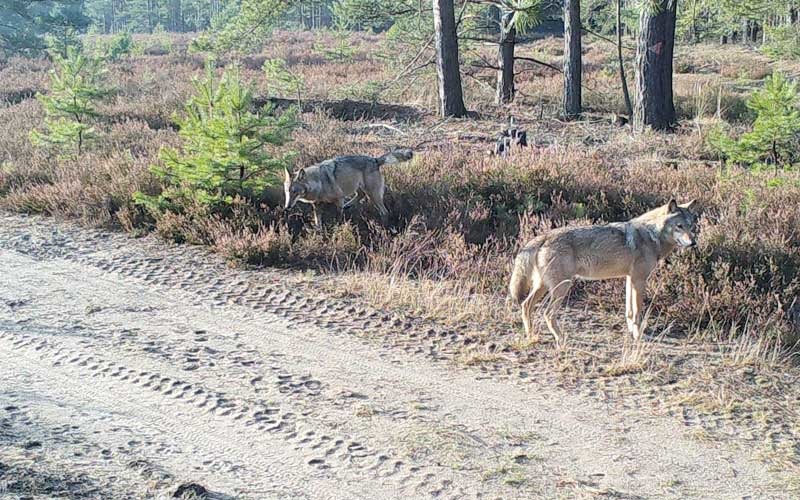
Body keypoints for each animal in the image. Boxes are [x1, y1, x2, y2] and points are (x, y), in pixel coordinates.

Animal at [284, 147, 412, 228]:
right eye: (287, 192)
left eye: (295, 192)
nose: (286, 208)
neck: (319, 183)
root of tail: (375, 160)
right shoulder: (316, 205)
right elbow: (317, 222)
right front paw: (318, 232)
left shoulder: (339, 199)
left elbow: (339, 217)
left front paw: (338, 228)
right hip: (361, 189)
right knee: (360, 196)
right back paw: (349, 205)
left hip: (373, 195)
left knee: (384, 212)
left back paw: (384, 229)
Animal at [510, 199, 696, 344]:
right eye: (679, 226)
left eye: (691, 226)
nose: (693, 243)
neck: (652, 234)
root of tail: (543, 237)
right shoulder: (639, 280)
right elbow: (637, 313)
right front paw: (638, 336)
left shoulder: (630, 279)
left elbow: (629, 312)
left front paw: (631, 332)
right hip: (562, 287)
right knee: (547, 313)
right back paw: (560, 338)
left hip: (544, 287)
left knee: (526, 305)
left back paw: (532, 335)